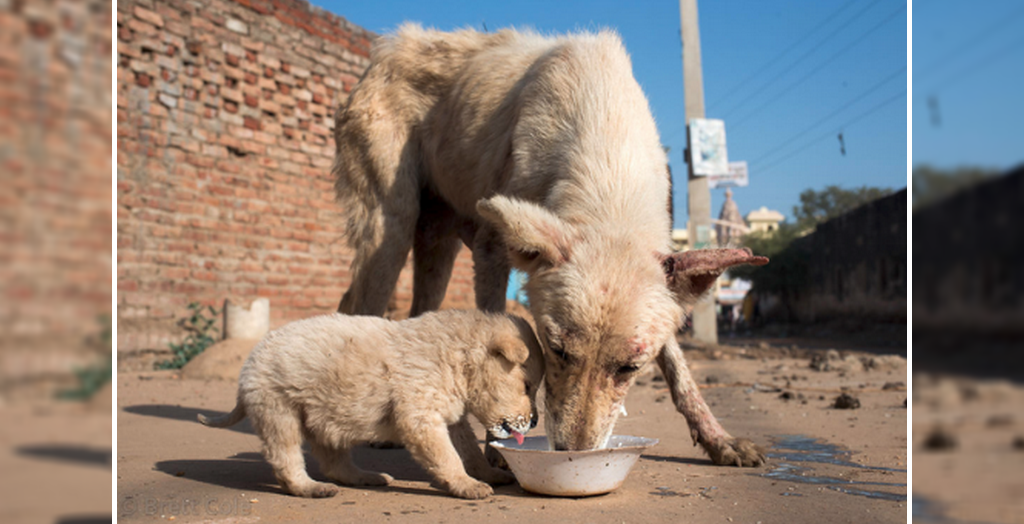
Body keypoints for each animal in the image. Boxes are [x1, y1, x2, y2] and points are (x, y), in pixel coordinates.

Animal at [198, 311, 544, 499]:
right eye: (527, 386)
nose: (536, 422)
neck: (455, 356)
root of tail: (249, 365)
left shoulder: (452, 418)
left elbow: (469, 452)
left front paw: (487, 474)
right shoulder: (421, 419)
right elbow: (449, 458)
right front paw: (466, 485)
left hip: (324, 420)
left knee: (335, 465)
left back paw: (367, 477)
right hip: (280, 414)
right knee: (287, 461)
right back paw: (310, 487)